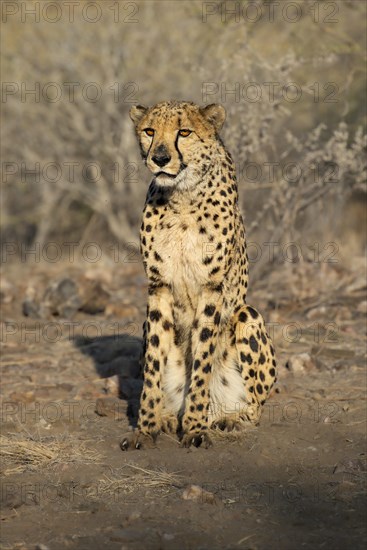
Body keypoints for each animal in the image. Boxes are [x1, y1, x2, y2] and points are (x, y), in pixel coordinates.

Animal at [122, 101, 278, 450]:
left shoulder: (212, 287)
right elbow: (154, 363)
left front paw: (194, 427)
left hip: (247, 315)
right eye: (149, 131)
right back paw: (169, 416)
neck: (181, 197)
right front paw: (146, 427)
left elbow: (203, 357)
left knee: (256, 406)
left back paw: (229, 417)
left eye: (184, 132)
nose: (160, 158)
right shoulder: (159, 286)